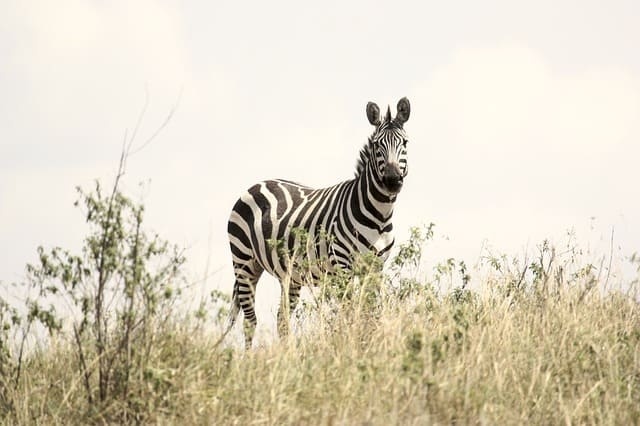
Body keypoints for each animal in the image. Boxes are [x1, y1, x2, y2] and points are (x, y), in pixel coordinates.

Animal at [224, 97, 411, 349]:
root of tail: (258, 184)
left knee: (282, 320)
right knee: (250, 320)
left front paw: (368, 347)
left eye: (405, 143)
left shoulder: (376, 267)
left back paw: (288, 355)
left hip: (288, 275)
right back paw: (250, 357)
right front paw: (350, 346)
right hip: (244, 262)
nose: (392, 180)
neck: (380, 216)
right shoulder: (342, 264)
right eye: (375, 145)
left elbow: (371, 313)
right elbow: (349, 312)